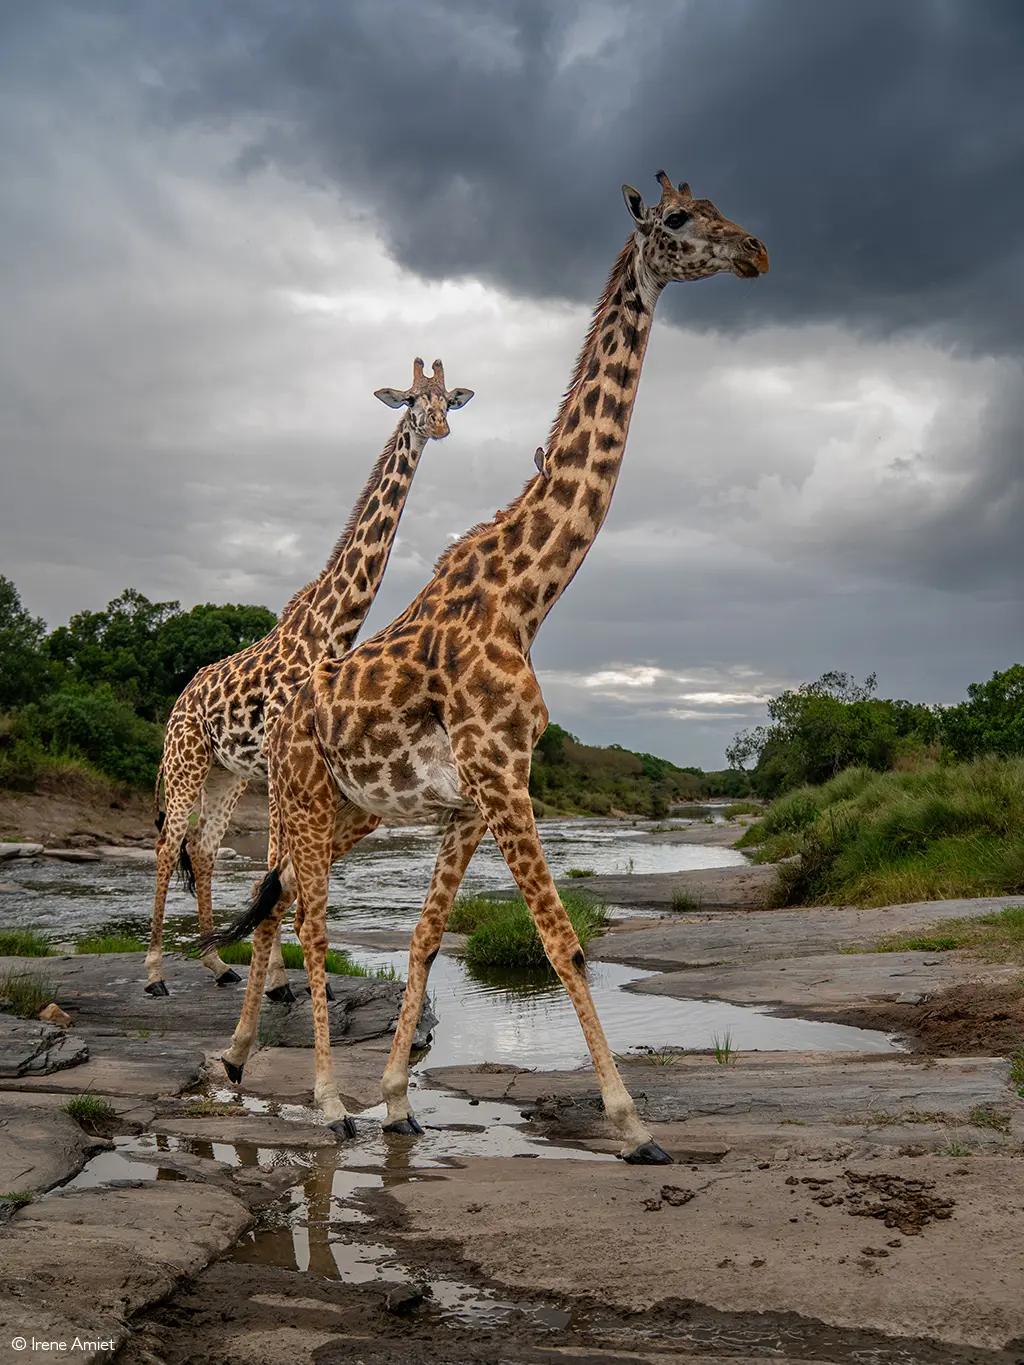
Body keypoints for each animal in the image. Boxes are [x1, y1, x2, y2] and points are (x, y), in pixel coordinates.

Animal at [145, 358, 474, 996]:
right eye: (412, 399)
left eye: (449, 398)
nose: (440, 427)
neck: (333, 624)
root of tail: (180, 699)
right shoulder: (285, 749)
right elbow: (276, 867)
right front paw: (276, 980)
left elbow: (276, 869)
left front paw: (275, 982)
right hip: (186, 760)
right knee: (168, 845)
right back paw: (152, 973)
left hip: (228, 774)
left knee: (204, 848)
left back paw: (217, 964)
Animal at [204, 173, 768, 1160]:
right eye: (677, 220)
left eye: (718, 206)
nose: (756, 252)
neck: (527, 597)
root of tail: (282, 722)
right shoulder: (507, 778)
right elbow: (563, 941)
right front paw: (634, 1122)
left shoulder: (469, 803)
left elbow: (428, 939)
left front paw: (398, 1097)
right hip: (302, 797)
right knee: (306, 914)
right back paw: (322, 1099)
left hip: (351, 809)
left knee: (278, 902)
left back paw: (241, 1062)